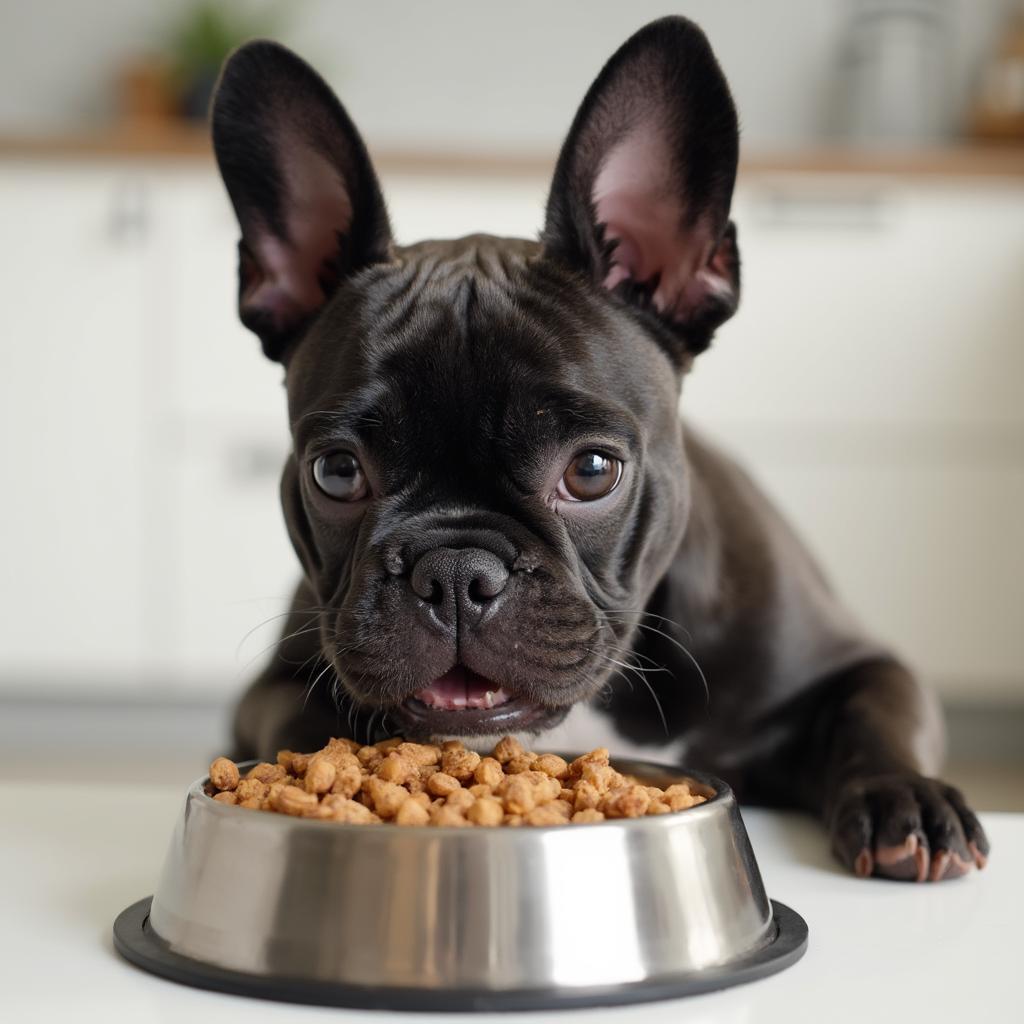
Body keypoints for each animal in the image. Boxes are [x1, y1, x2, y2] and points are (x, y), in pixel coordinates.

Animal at [209, 16, 991, 880]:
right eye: (337, 472)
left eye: (590, 471)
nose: (455, 571)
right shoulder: (273, 688)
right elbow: (310, 727)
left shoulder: (861, 664)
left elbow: (877, 718)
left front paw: (904, 798)